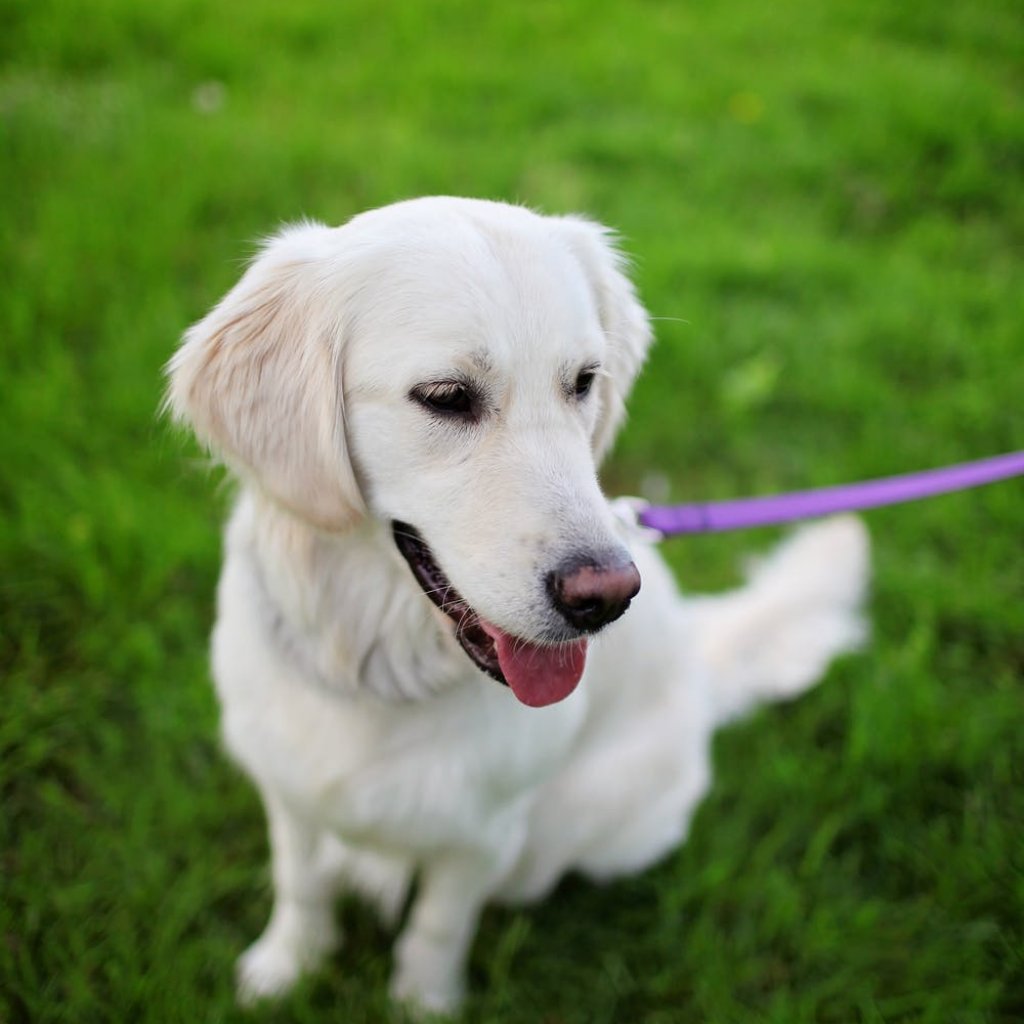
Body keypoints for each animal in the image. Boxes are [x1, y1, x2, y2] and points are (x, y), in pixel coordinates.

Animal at [163, 195, 868, 1011]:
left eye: (584, 381)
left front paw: (422, 1005)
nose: (607, 597)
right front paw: (286, 968)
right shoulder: (287, 790)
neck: (378, 662)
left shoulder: (486, 832)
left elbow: (436, 928)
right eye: (445, 397)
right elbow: (300, 885)